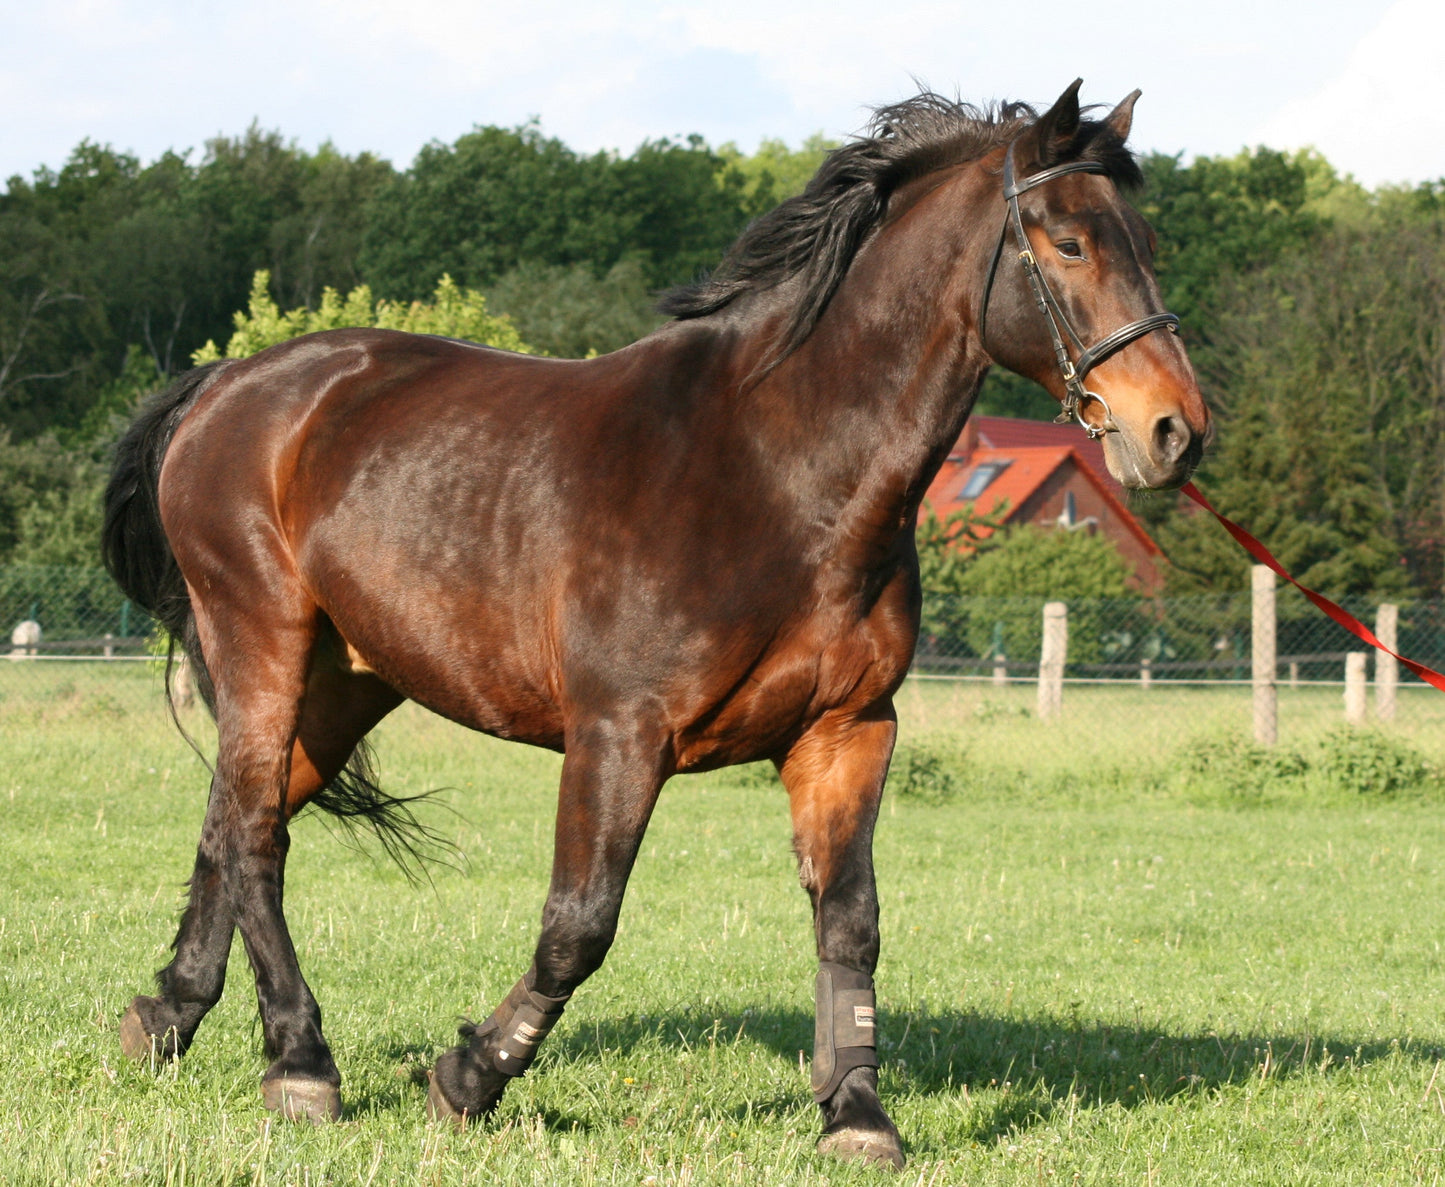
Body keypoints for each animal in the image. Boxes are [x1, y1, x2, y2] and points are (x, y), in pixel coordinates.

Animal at [102, 80, 1208, 1169]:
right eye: (1068, 241)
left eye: (1147, 241)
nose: (1174, 430)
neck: (777, 473)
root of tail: (228, 386)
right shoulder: (619, 734)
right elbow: (578, 924)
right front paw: (469, 1076)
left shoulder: (846, 731)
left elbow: (849, 922)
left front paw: (855, 1111)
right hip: (264, 641)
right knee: (253, 832)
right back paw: (301, 1061)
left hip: (345, 679)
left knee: (232, 817)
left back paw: (167, 1016)